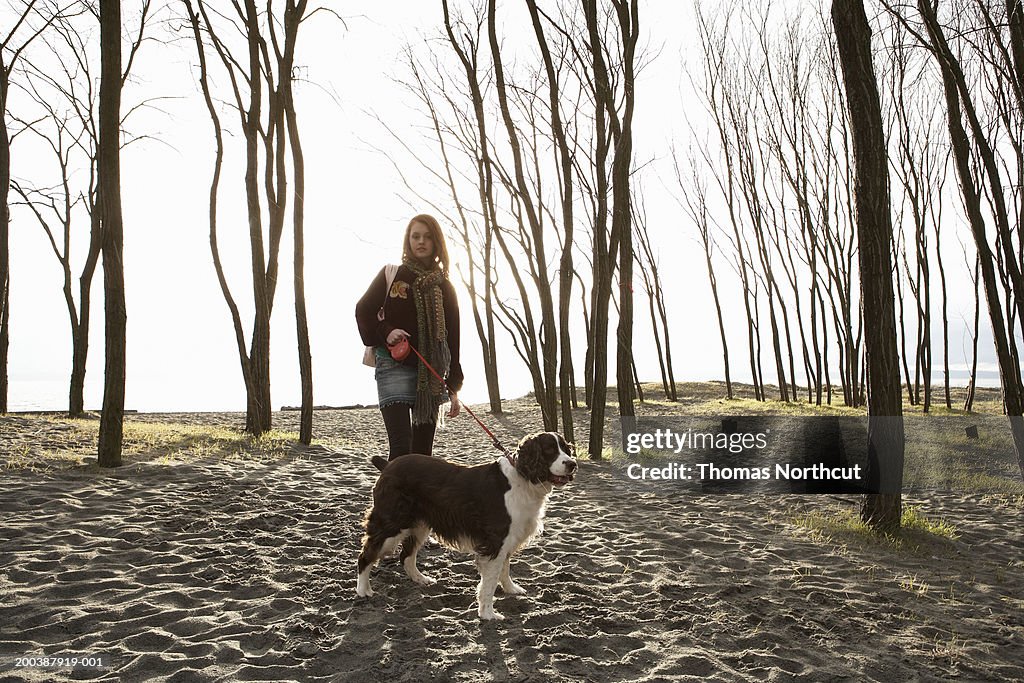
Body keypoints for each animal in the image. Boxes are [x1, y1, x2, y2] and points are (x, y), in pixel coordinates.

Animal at [354, 432, 577, 618]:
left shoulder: (508, 538)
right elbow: (489, 583)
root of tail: (388, 465)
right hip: (392, 524)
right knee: (366, 554)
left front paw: (511, 589)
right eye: (549, 449)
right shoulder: (496, 540)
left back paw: (421, 579)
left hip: (419, 524)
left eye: (566, 449)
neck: (523, 478)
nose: (572, 464)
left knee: (406, 556)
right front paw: (488, 614)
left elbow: (504, 569)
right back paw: (363, 590)